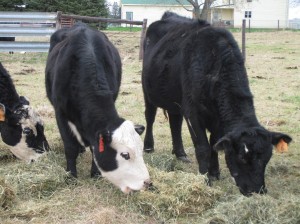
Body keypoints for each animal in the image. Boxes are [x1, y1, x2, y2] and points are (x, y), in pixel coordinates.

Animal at [45, 23, 151, 194]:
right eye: (125, 154)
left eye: (141, 150)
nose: (147, 183)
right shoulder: (60, 113)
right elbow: (70, 147)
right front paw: (71, 176)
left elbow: (94, 148)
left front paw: (95, 174)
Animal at [142, 12, 292, 195]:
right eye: (242, 156)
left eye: (267, 158)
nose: (257, 191)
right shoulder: (193, 113)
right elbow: (203, 147)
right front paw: (204, 179)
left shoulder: (217, 120)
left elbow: (214, 143)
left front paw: (214, 173)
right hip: (148, 91)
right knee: (150, 117)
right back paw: (148, 147)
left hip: (174, 99)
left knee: (175, 121)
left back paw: (180, 153)